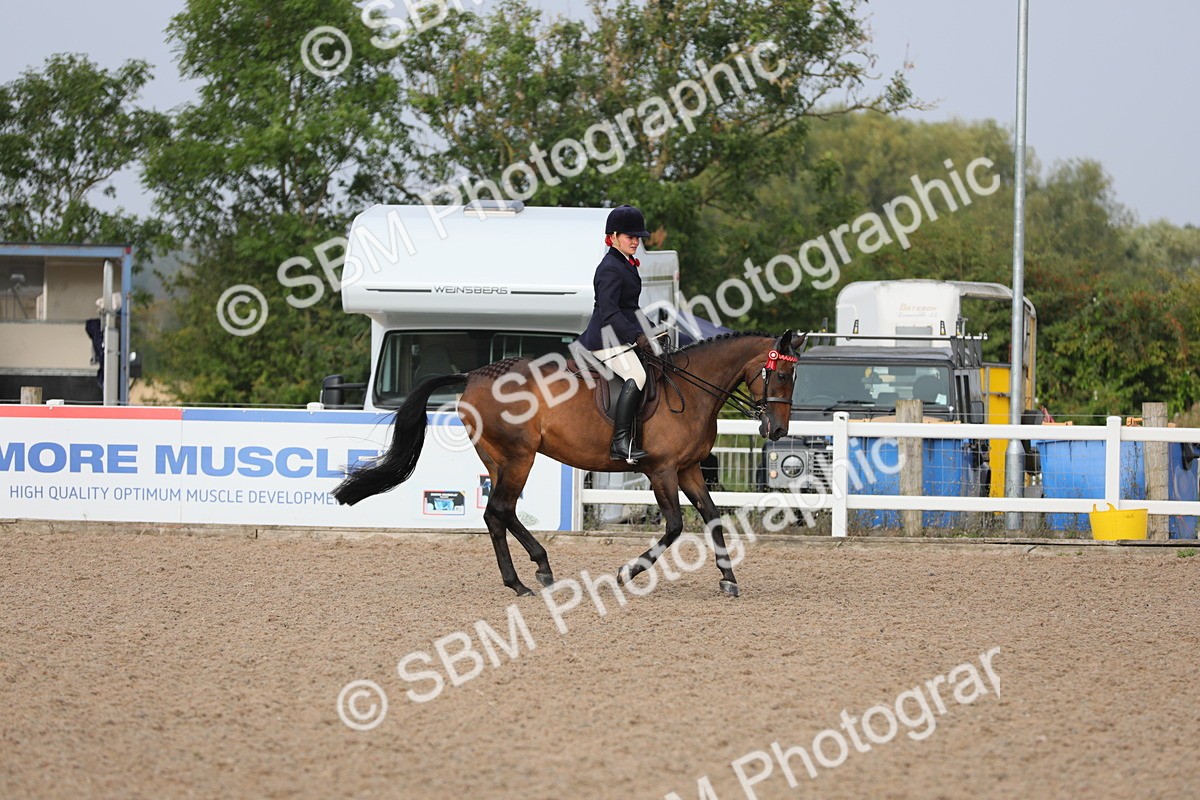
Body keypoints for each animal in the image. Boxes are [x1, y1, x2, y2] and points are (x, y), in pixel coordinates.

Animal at [333, 329, 803, 597]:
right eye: (781, 375)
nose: (777, 430)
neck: (691, 390)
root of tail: (472, 376)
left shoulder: (687, 470)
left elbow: (713, 518)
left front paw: (729, 580)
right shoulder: (662, 471)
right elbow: (673, 527)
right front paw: (626, 572)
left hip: (502, 460)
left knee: (497, 514)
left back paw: (525, 577)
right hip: (518, 457)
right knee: (500, 509)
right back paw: (534, 575)